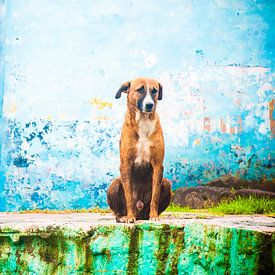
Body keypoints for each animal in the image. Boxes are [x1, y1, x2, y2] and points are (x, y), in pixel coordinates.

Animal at [106, 77, 171, 224]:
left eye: (154, 91)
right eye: (140, 90)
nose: (149, 105)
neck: (143, 120)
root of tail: (140, 212)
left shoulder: (158, 165)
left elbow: (155, 196)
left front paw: (154, 216)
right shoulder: (126, 164)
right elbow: (129, 195)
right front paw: (130, 217)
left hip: (166, 183)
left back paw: (149, 215)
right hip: (115, 183)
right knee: (118, 212)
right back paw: (123, 216)